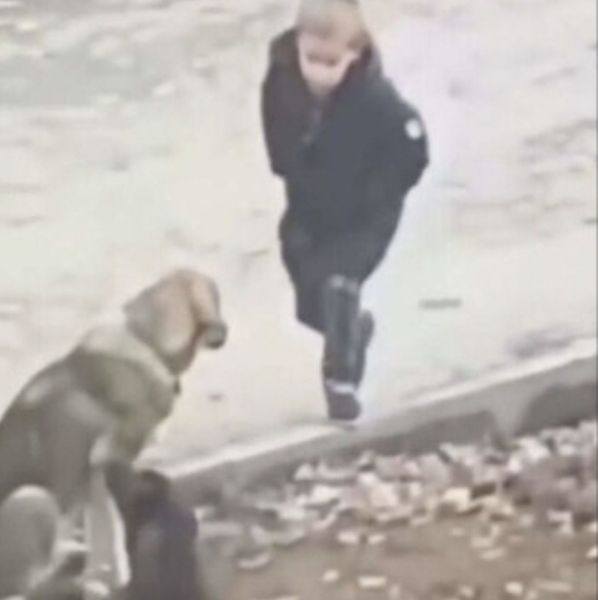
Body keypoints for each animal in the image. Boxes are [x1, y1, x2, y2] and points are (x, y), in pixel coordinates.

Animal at [0, 270, 227, 596]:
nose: (223, 333)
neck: (142, 341)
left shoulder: (94, 478)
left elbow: (106, 533)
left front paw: (108, 578)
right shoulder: (108, 459)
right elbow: (113, 531)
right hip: (33, 497)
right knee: (30, 581)